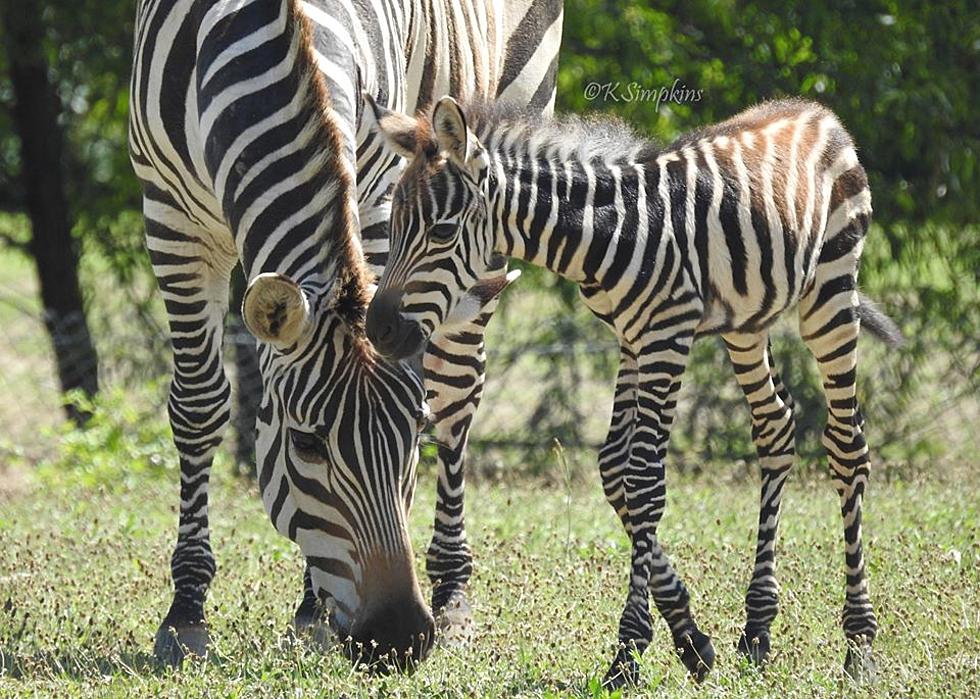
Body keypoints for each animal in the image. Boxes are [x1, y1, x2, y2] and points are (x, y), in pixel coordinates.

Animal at [128, 0, 568, 668]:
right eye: (306, 444)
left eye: (412, 437)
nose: (400, 636)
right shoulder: (171, 213)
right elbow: (198, 405)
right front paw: (186, 614)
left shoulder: (382, 190)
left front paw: (311, 611)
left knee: (459, 392)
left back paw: (452, 595)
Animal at [362, 97, 904, 688]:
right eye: (392, 227)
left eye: (440, 232)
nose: (378, 331)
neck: (604, 233)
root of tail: (817, 111)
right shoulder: (630, 338)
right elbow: (615, 469)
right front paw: (692, 639)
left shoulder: (667, 336)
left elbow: (644, 481)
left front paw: (628, 652)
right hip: (746, 323)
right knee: (776, 428)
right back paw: (758, 629)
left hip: (832, 291)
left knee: (847, 447)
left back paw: (860, 645)